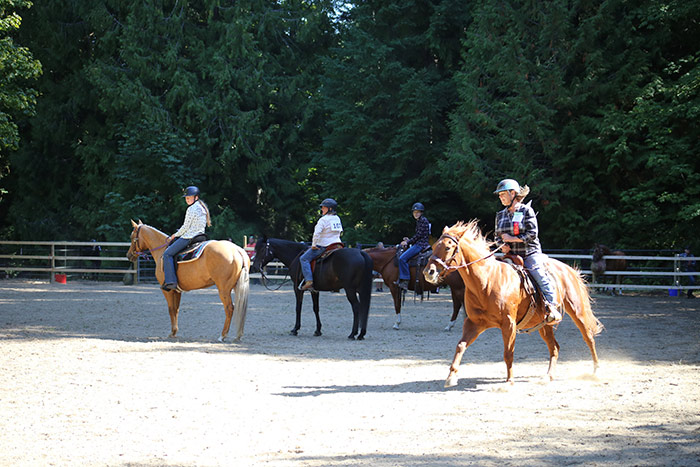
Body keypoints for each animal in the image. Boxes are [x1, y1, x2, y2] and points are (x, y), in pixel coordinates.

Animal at [424, 222, 604, 388]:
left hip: (577, 312)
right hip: (544, 325)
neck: (487, 281)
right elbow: (460, 346)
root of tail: (568, 269)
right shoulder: (475, 323)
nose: (428, 272)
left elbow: (508, 353)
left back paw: (596, 371)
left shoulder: (509, 324)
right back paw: (548, 376)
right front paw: (451, 376)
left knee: (588, 338)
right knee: (554, 347)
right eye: (434, 245)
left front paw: (509, 381)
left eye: (448, 247)